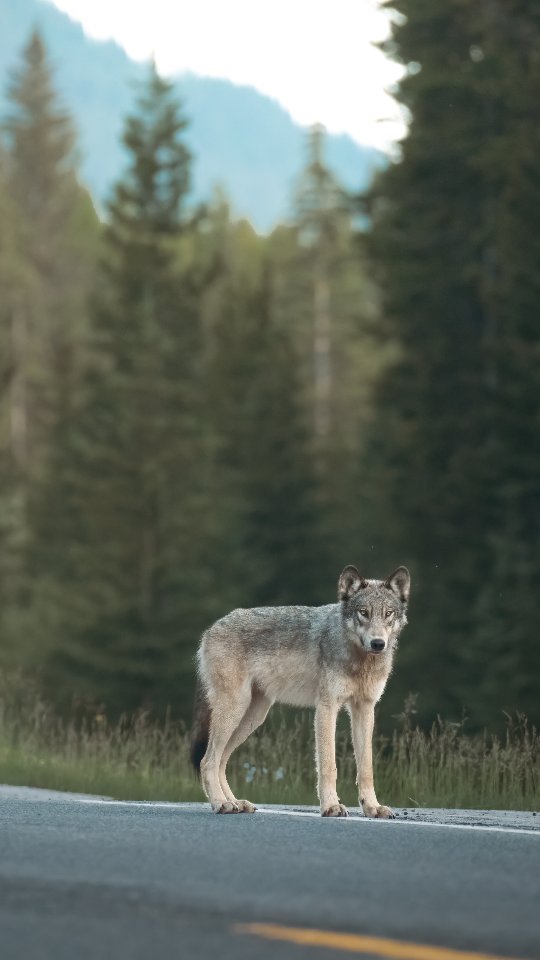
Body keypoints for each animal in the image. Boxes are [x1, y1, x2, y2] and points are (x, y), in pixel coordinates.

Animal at [190, 564, 410, 817]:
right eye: (363, 612)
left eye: (388, 613)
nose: (377, 643)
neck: (359, 660)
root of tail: (211, 628)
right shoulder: (326, 707)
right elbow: (328, 765)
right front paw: (331, 806)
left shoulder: (364, 708)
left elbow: (366, 768)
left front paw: (372, 807)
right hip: (235, 710)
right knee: (207, 761)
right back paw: (221, 803)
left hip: (252, 718)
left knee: (220, 761)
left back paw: (236, 803)